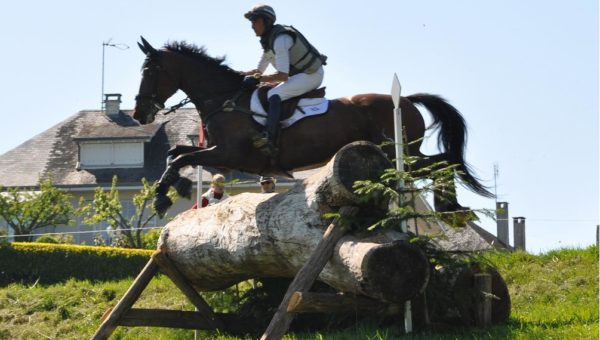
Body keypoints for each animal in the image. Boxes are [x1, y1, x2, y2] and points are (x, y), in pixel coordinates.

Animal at [132, 37, 492, 216]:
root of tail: (405, 99)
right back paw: (451, 206)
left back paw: (451, 206)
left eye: (150, 71)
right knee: (442, 161)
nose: (139, 113)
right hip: (401, 155)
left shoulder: (230, 155)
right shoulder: (218, 154)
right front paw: (175, 189)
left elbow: (181, 157)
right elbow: (177, 153)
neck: (225, 99)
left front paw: (162, 198)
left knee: (444, 161)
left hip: (401, 155)